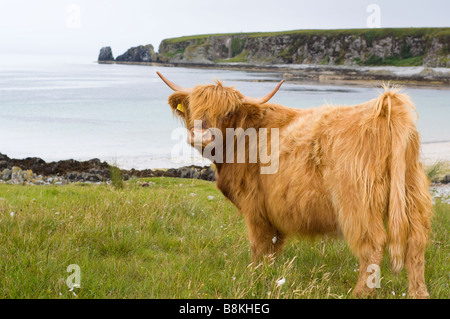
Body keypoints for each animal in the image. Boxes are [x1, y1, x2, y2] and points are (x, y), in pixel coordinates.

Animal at [157, 71, 432, 298]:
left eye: (227, 113)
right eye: (194, 108)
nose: (200, 136)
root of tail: (385, 107)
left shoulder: (255, 208)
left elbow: (259, 248)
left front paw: (255, 279)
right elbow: (272, 249)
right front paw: (268, 277)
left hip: (357, 202)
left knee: (372, 245)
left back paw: (359, 294)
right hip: (413, 193)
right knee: (416, 245)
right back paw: (418, 294)